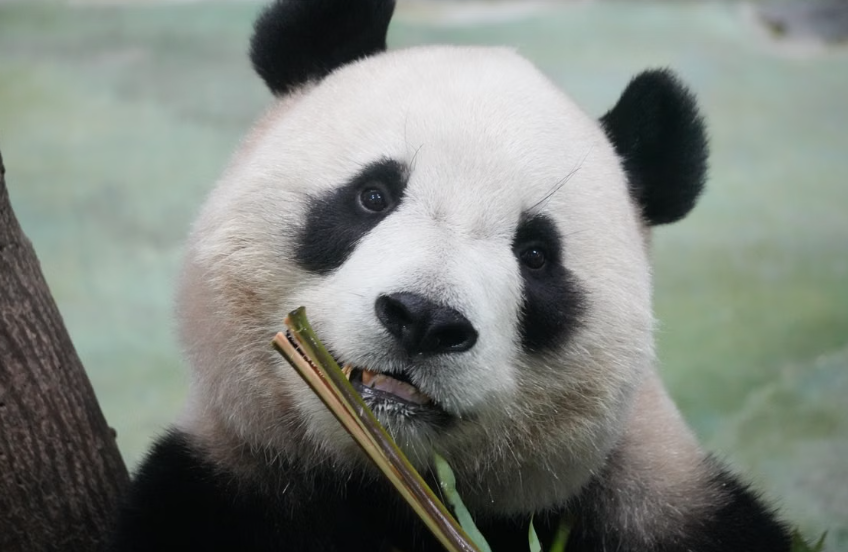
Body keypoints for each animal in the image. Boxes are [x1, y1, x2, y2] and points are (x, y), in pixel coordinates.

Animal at [108, 0, 792, 550]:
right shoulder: (226, 487)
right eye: (373, 196)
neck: (390, 484)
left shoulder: (655, 502)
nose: (425, 319)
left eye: (536, 253)